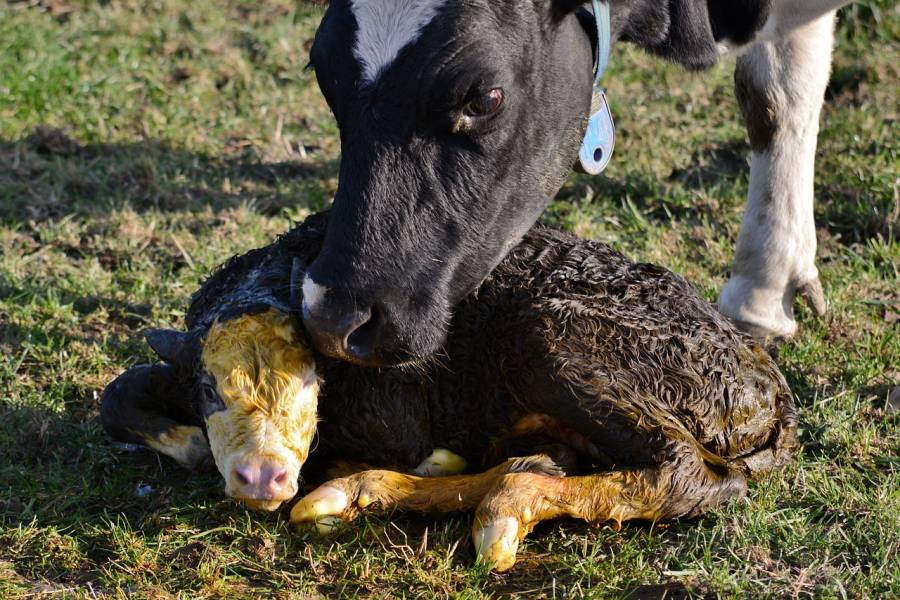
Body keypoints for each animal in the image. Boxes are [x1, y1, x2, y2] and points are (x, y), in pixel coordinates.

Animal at [102, 211, 800, 572]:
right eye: (210, 389)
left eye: (311, 382)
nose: (262, 476)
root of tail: (766, 381)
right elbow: (118, 391)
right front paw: (193, 443)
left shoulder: (396, 416)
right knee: (543, 459)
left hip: (558, 339)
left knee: (690, 474)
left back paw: (498, 511)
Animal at [298, 0, 848, 368]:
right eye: (321, 72)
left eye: (485, 98)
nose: (334, 319)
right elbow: (772, 96)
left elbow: (776, 94)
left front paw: (763, 289)